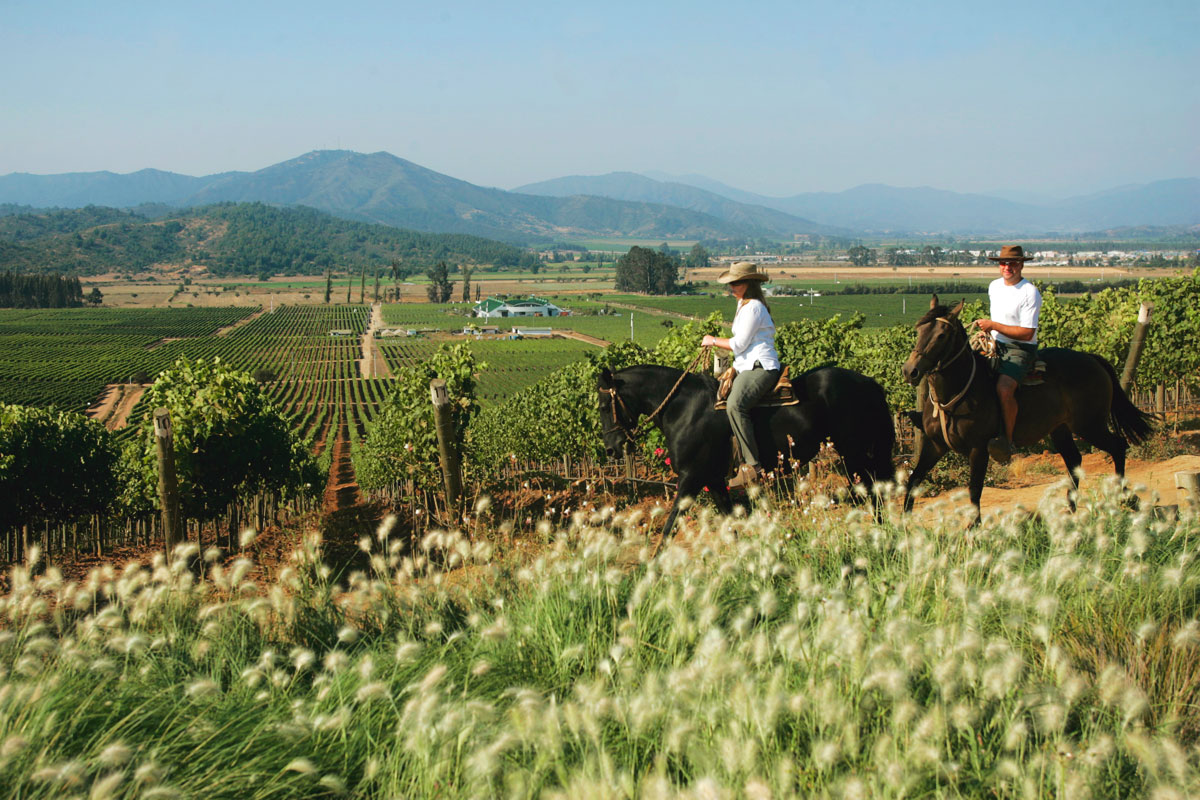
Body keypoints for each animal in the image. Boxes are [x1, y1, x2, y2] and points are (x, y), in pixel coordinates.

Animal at [595, 364, 897, 542]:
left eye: (603, 405)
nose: (611, 448)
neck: (684, 409)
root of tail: (867, 382)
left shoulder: (691, 479)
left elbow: (670, 527)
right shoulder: (713, 480)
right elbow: (730, 522)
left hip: (854, 452)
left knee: (872, 491)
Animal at [902, 297, 1152, 522]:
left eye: (942, 335)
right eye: (919, 330)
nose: (910, 370)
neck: (957, 393)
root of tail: (1092, 358)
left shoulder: (978, 449)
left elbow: (974, 489)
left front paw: (973, 528)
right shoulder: (935, 445)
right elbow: (913, 480)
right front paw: (903, 525)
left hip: (1090, 425)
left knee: (1118, 446)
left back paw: (1124, 498)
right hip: (1060, 429)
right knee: (1075, 459)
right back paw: (1070, 509)